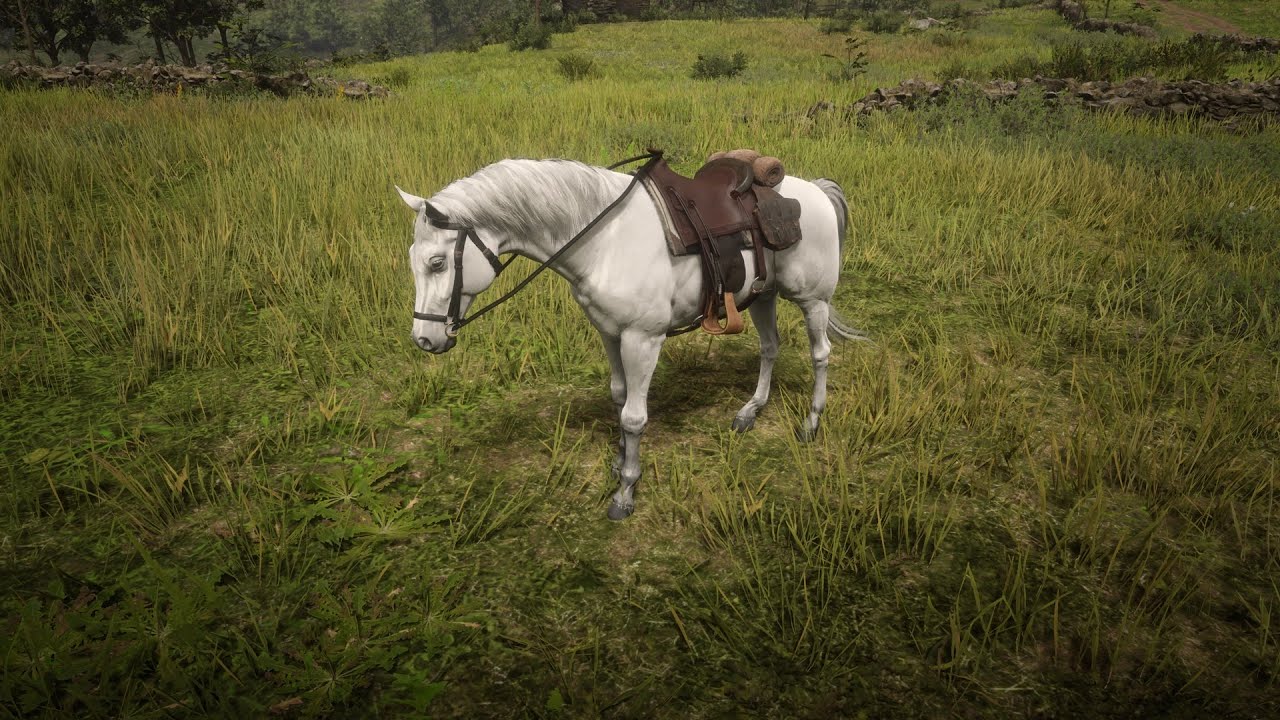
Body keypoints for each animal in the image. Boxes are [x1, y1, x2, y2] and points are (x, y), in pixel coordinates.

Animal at [396, 156, 865, 520]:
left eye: (437, 262)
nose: (424, 339)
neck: (606, 240)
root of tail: (815, 190)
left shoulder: (643, 339)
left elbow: (634, 417)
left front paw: (625, 491)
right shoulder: (609, 332)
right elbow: (619, 398)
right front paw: (621, 460)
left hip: (812, 299)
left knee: (821, 354)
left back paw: (811, 422)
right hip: (762, 295)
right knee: (770, 348)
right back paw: (751, 411)